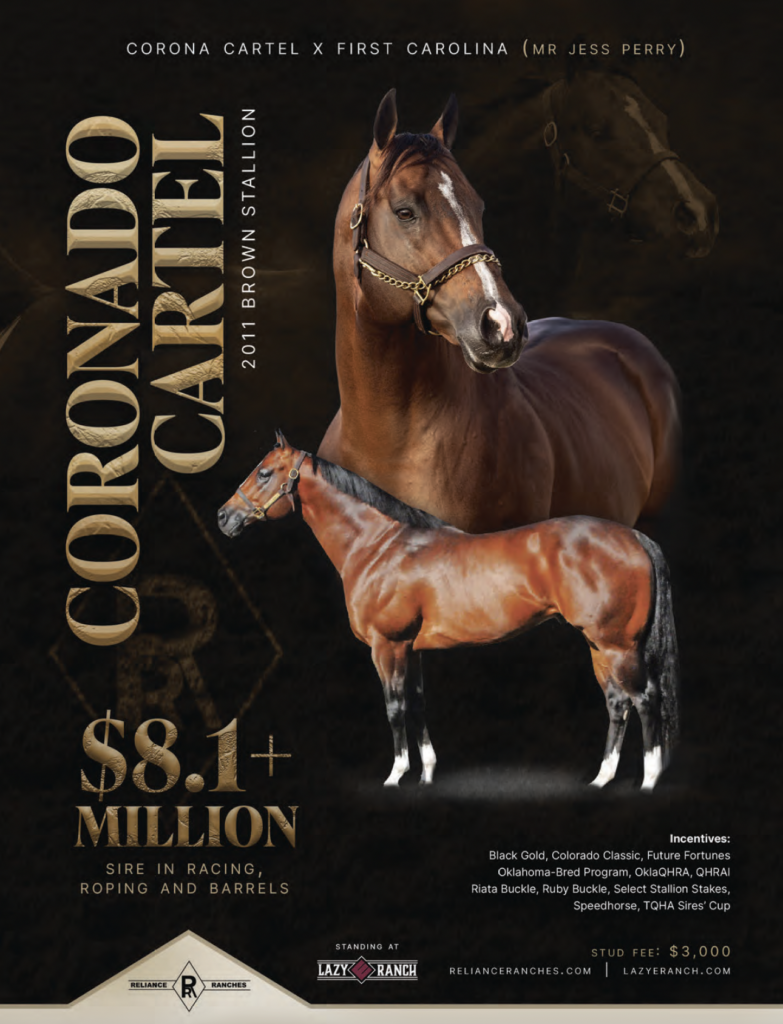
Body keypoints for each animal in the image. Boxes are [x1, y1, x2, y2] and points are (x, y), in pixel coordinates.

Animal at [218, 434, 680, 792]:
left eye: (264, 472)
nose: (224, 516)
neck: (379, 546)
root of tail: (634, 536)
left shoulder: (387, 646)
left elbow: (395, 706)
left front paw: (396, 775)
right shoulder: (412, 649)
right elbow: (418, 704)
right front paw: (425, 774)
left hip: (618, 647)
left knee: (645, 700)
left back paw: (649, 781)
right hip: (599, 646)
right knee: (617, 703)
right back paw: (602, 779)